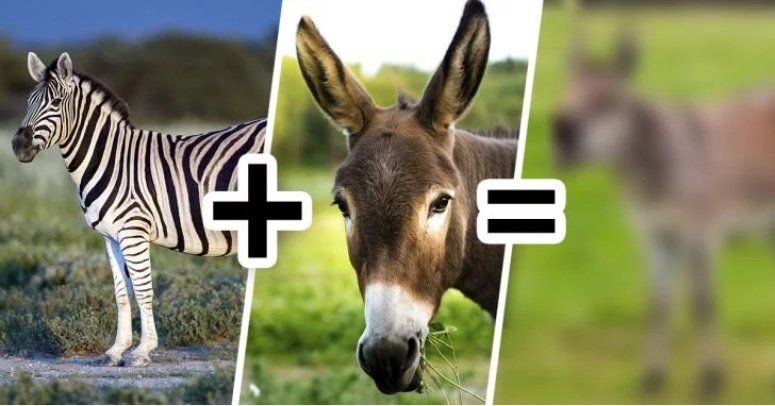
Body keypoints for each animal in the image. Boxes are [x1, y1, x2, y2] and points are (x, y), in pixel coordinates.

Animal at [11, 52, 265, 367]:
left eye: (56, 102)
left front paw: (143, 350)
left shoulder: (134, 230)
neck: (110, 159)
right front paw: (116, 350)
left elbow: (143, 291)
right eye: (28, 102)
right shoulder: (110, 237)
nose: (19, 145)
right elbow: (122, 293)